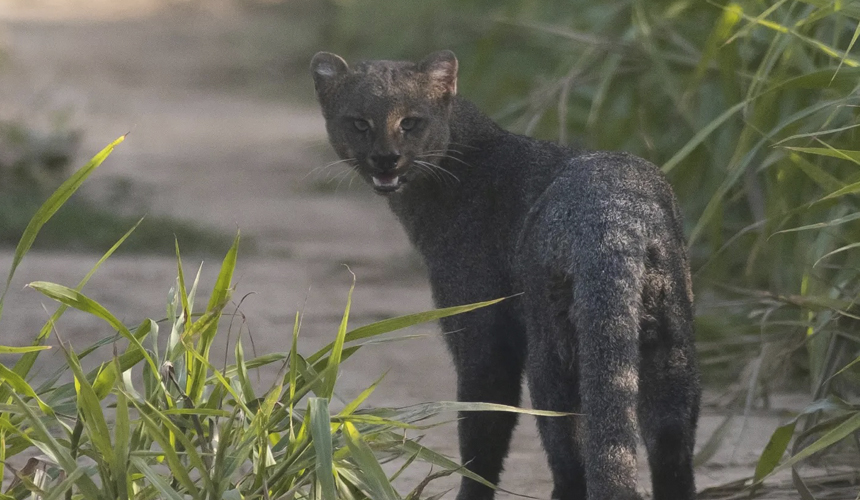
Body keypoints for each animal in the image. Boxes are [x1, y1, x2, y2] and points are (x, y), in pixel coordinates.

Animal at [310, 49, 700, 500]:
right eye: (359, 122)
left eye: (410, 121)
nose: (386, 158)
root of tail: (613, 213)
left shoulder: (479, 329)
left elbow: (482, 430)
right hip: (672, 349)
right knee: (672, 456)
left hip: (551, 353)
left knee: (571, 458)